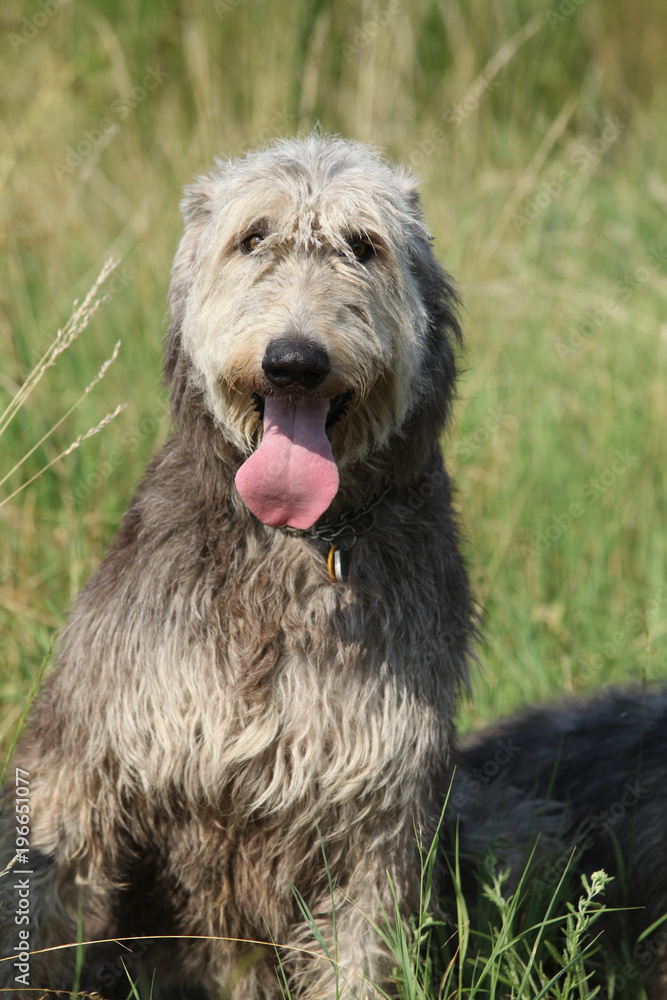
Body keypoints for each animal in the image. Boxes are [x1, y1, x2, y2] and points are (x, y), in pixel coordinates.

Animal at [1, 135, 480, 1000]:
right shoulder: (83, 761)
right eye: (253, 237)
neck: (293, 544)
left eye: (363, 245)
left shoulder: (376, 812)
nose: (294, 362)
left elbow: (358, 953)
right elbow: (46, 896)